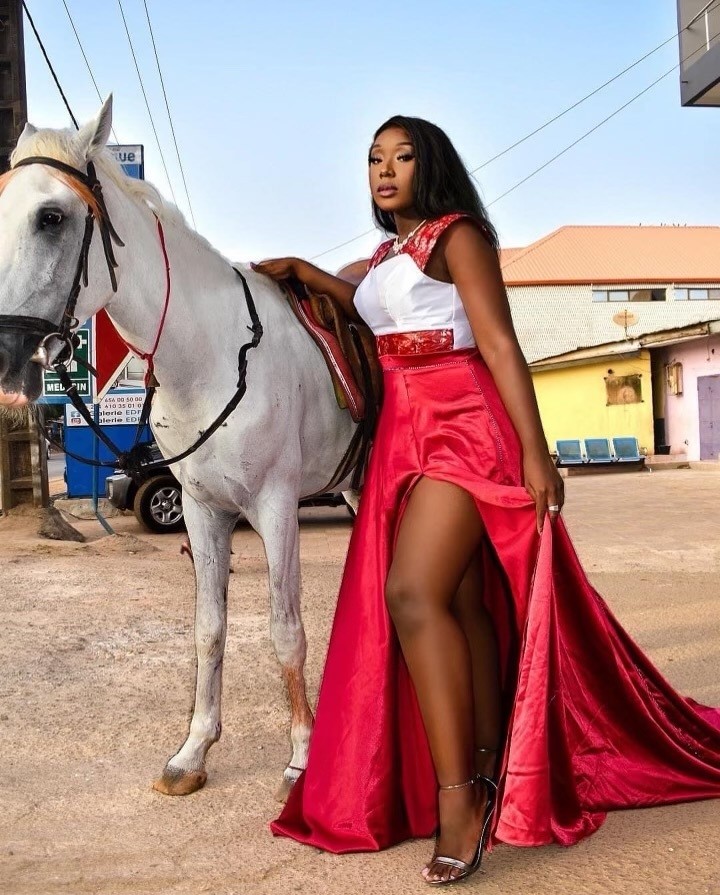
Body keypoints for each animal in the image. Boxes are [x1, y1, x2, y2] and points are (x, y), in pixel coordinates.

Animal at [0, 100, 358, 800]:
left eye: (52, 217)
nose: (1, 356)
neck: (214, 355)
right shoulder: (201, 507)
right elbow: (208, 629)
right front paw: (194, 751)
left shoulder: (276, 507)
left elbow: (286, 631)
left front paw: (300, 762)